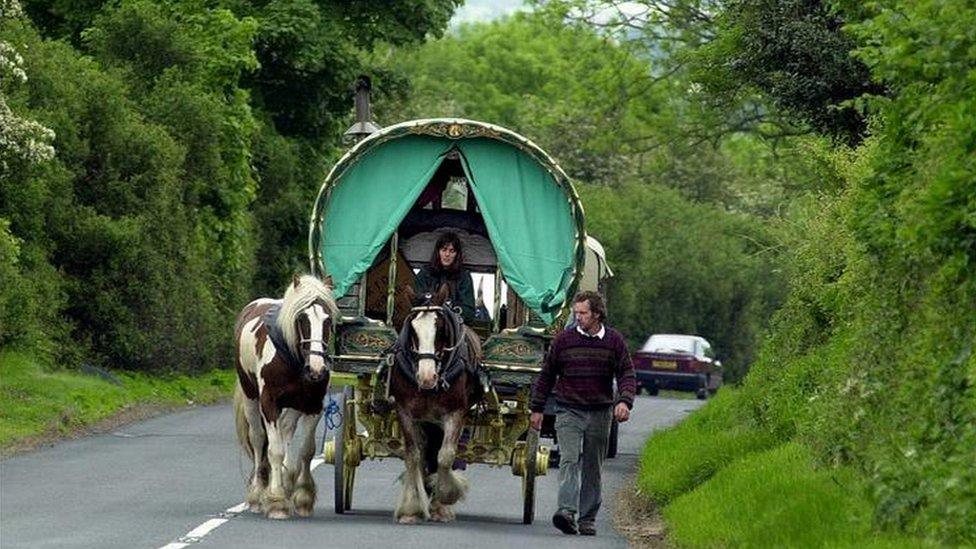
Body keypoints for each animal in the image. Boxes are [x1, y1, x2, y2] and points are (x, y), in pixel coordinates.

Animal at [231, 274, 338, 520]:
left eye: (327, 320)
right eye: (302, 318)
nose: (316, 370)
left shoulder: (312, 405)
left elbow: (306, 450)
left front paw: (303, 497)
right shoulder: (269, 403)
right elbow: (275, 450)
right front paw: (277, 501)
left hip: (293, 406)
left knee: (286, 430)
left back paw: (286, 482)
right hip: (251, 398)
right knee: (259, 439)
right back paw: (258, 493)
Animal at [386, 282, 482, 524]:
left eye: (440, 328)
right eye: (412, 328)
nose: (427, 377)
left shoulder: (455, 413)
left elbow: (445, 456)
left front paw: (446, 496)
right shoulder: (405, 412)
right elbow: (413, 456)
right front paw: (411, 508)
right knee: (423, 454)